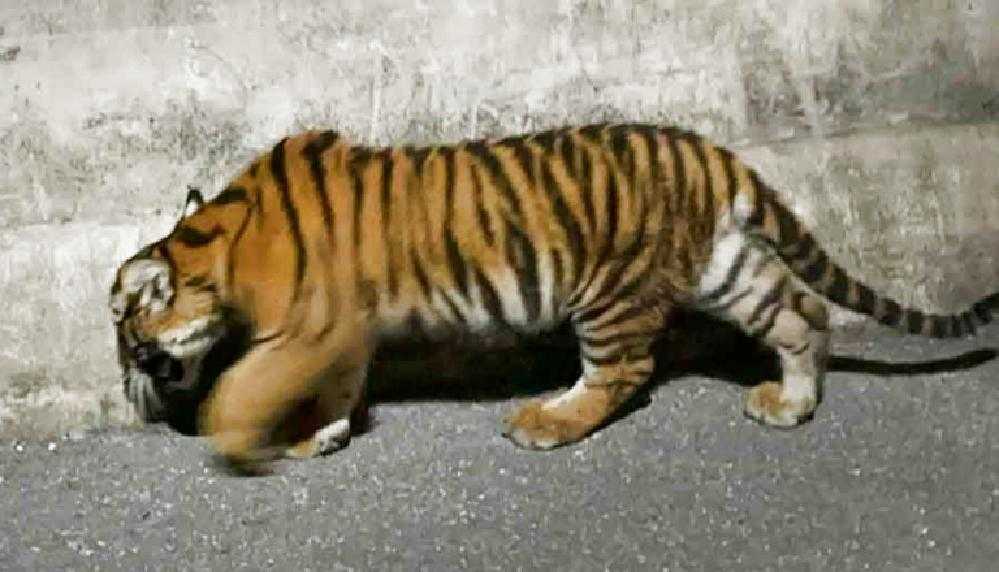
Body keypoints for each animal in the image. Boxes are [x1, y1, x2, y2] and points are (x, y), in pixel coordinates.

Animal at [108, 123, 996, 473]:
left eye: (125, 333)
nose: (130, 381)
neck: (215, 247)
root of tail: (708, 151)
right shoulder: (339, 335)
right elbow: (334, 387)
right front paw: (318, 436)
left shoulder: (309, 330)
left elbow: (247, 384)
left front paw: (233, 435)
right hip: (725, 266)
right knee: (802, 314)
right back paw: (791, 404)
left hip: (608, 292)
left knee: (623, 373)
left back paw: (546, 421)